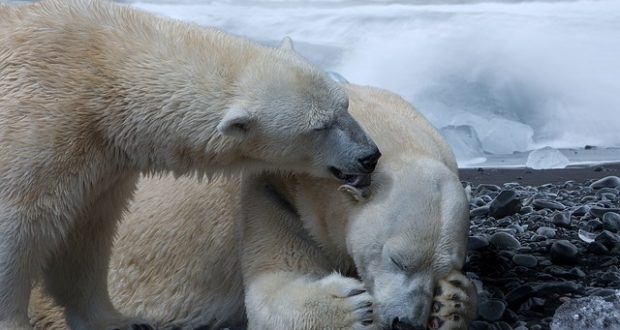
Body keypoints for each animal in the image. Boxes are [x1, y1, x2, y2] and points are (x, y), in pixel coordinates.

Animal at [0, 1, 380, 328]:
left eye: (345, 105)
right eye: (319, 127)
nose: (370, 155)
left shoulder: (101, 166)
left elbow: (85, 237)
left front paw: (120, 321)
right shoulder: (37, 131)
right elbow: (18, 230)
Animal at [30, 84, 474, 330]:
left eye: (444, 267)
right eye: (397, 259)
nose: (405, 323)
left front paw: (452, 301)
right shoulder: (272, 193)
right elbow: (271, 288)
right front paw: (351, 306)